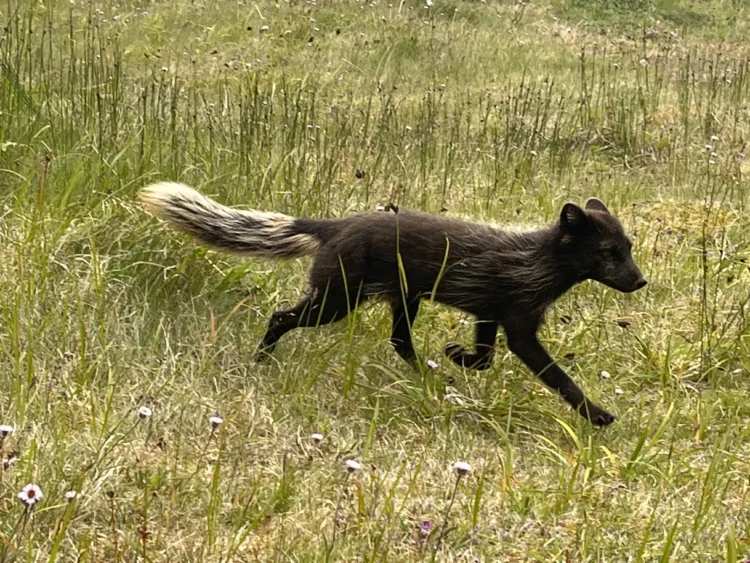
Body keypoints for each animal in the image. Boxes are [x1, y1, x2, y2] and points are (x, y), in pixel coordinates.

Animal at [139, 181, 647, 426]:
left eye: (628, 247)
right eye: (609, 253)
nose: (641, 281)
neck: (536, 261)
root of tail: (335, 224)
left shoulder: (490, 312)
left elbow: (483, 356)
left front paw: (457, 356)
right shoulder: (519, 326)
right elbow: (558, 378)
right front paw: (598, 415)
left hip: (403, 299)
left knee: (399, 342)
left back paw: (429, 375)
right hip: (337, 300)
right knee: (281, 315)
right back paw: (262, 358)